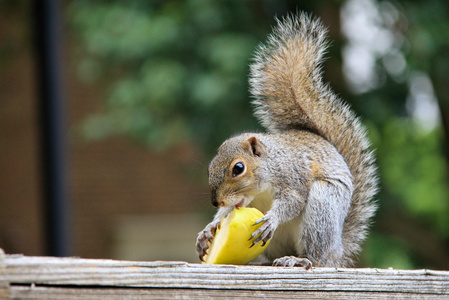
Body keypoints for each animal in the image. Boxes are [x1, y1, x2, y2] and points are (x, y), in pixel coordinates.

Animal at [194, 12, 376, 268]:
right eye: (210, 166)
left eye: (238, 168)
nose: (215, 201)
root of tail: (337, 253)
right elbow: (225, 214)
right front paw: (208, 230)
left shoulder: (293, 176)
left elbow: (293, 202)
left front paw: (272, 218)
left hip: (323, 207)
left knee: (316, 255)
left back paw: (299, 260)